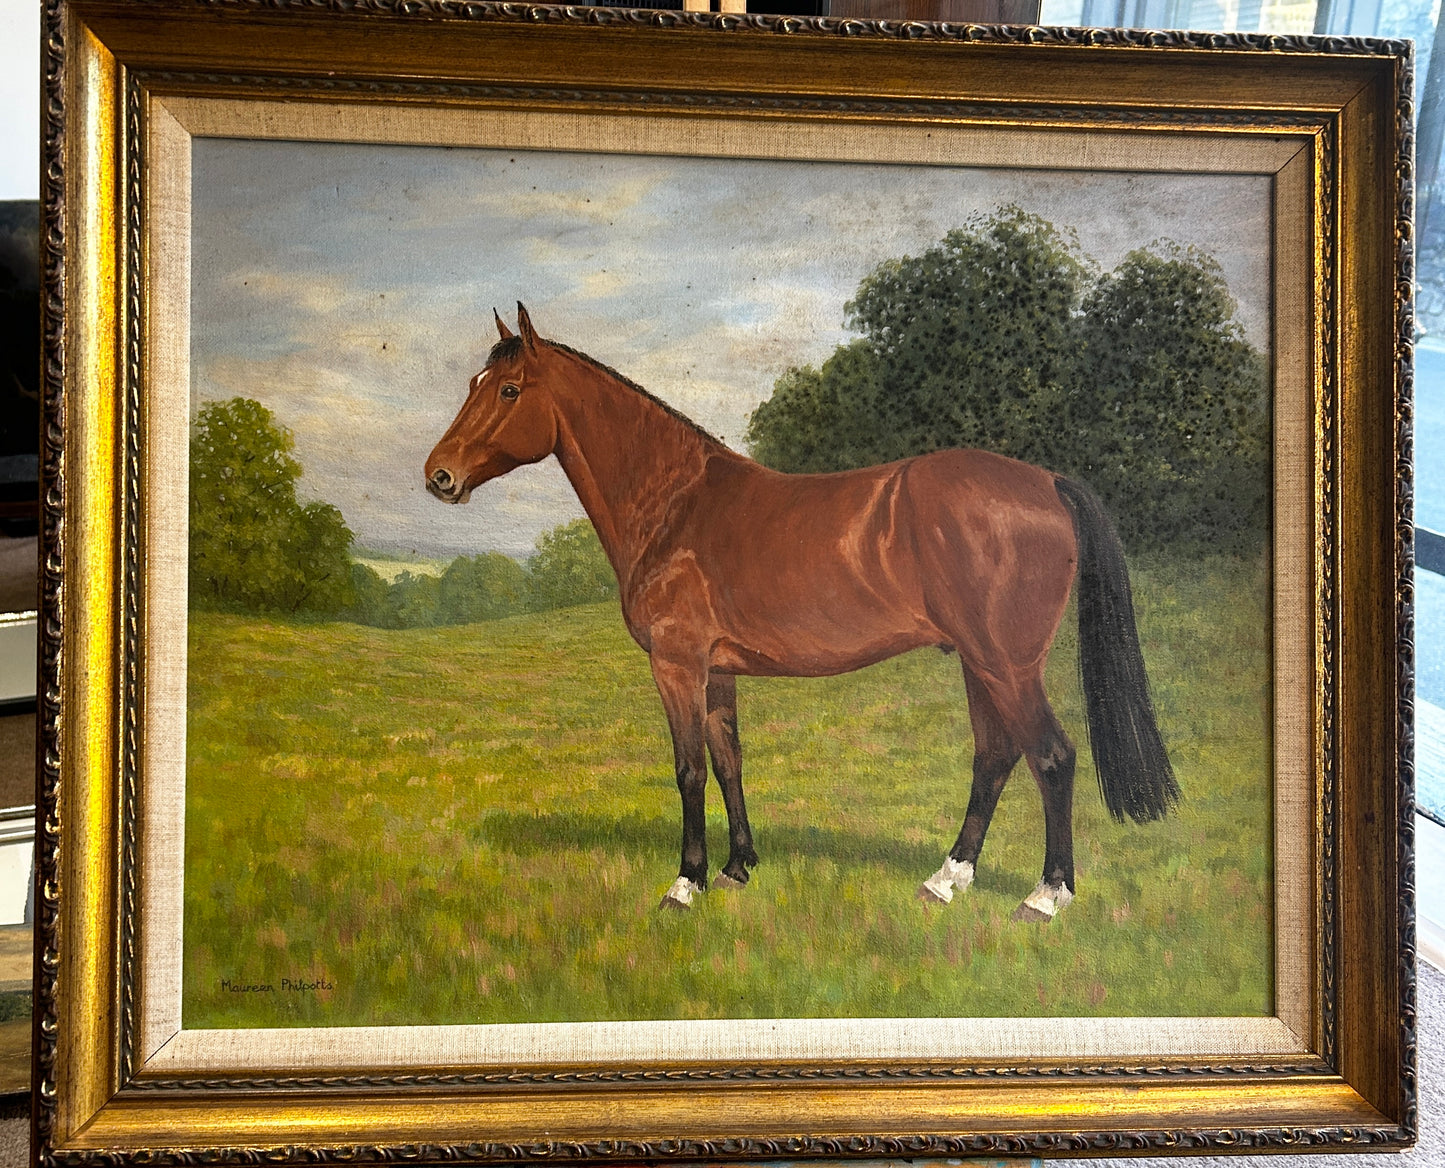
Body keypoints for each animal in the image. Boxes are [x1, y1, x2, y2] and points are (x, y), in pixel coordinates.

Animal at [425, 304, 1178, 922]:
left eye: (509, 390)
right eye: (473, 384)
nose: (438, 476)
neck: (676, 503)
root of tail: (1046, 481)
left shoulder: (677, 664)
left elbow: (688, 770)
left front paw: (685, 884)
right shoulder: (718, 670)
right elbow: (728, 760)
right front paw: (738, 868)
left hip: (1006, 665)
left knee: (1051, 756)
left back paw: (1045, 895)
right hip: (979, 664)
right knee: (994, 756)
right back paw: (946, 879)